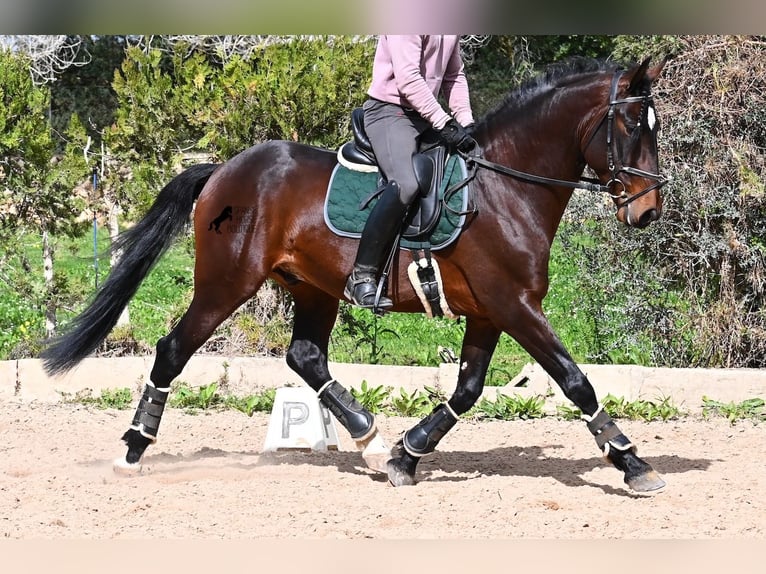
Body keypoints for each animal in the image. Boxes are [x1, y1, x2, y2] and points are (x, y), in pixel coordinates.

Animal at [42, 57, 668, 496]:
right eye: (630, 124)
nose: (646, 212)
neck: (504, 187)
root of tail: (223, 169)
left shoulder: (491, 311)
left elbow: (467, 390)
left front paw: (406, 455)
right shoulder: (515, 305)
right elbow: (575, 380)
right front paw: (632, 462)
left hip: (313, 288)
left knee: (305, 357)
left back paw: (369, 439)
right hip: (226, 284)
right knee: (174, 349)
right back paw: (132, 449)